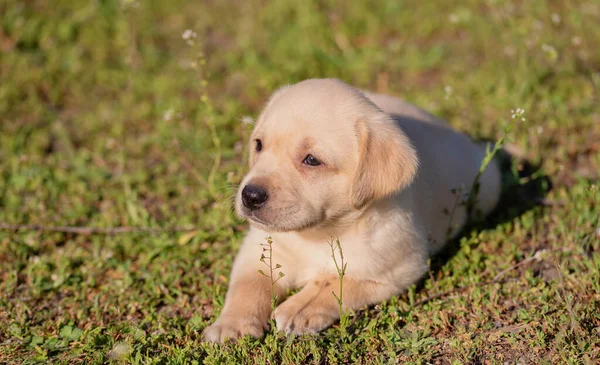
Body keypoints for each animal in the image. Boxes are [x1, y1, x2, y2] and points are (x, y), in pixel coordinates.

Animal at [202, 77, 502, 342]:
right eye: (259, 145)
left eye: (312, 160)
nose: (250, 195)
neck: (320, 232)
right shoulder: (258, 249)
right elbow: (247, 286)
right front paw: (231, 325)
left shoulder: (395, 271)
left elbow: (337, 284)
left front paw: (299, 308)